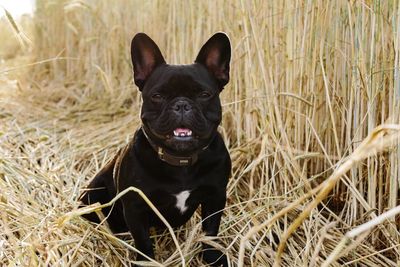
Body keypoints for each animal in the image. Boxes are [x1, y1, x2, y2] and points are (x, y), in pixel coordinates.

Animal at [80, 32, 231, 266]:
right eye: (158, 96)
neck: (181, 162)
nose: (181, 104)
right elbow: (143, 242)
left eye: (205, 95)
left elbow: (210, 233)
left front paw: (212, 258)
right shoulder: (136, 207)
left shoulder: (215, 197)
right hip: (92, 195)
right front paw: (146, 261)